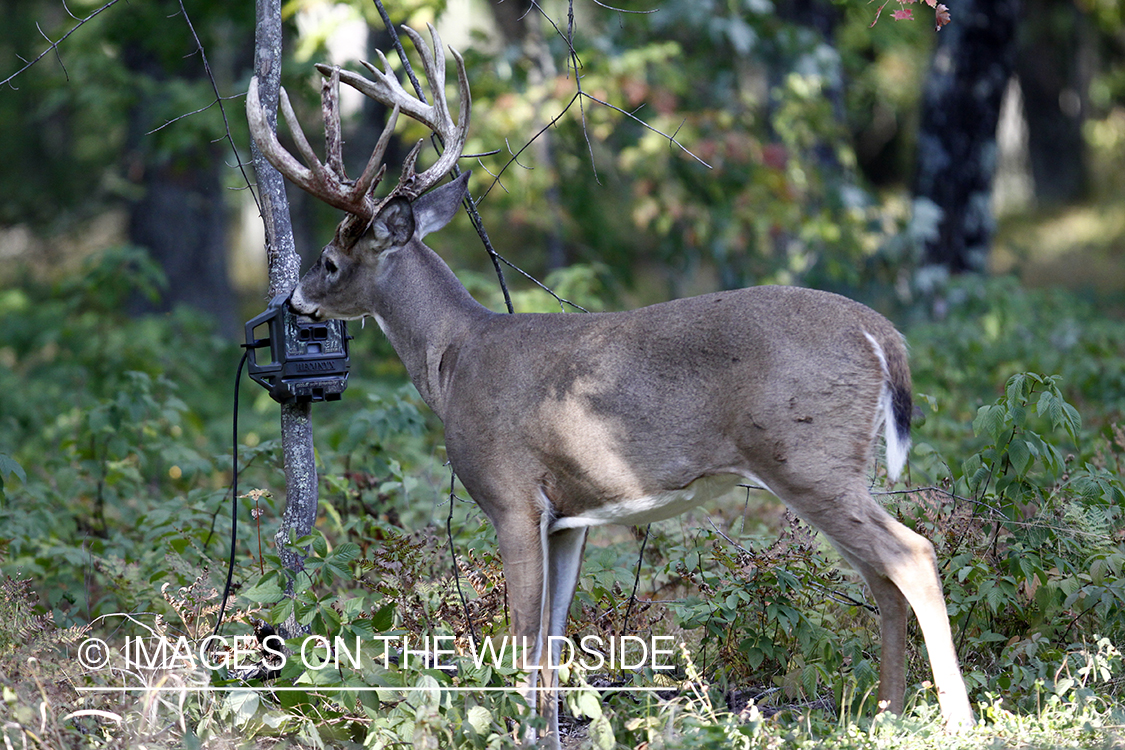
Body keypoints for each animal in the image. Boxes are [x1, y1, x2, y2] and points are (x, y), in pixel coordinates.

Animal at [250, 23, 972, 746]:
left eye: (330, 261)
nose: (296, 300)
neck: (452, 360)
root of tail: (881, 334)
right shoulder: (570, 516)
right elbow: (551, 641)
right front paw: (545, 731)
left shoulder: (511, 496)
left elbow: (523, 639)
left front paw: (521, 732)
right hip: (833, 465)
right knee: (880, 576)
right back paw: (888, 713)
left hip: (805, 457)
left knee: (911, 555)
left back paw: (956, 720)